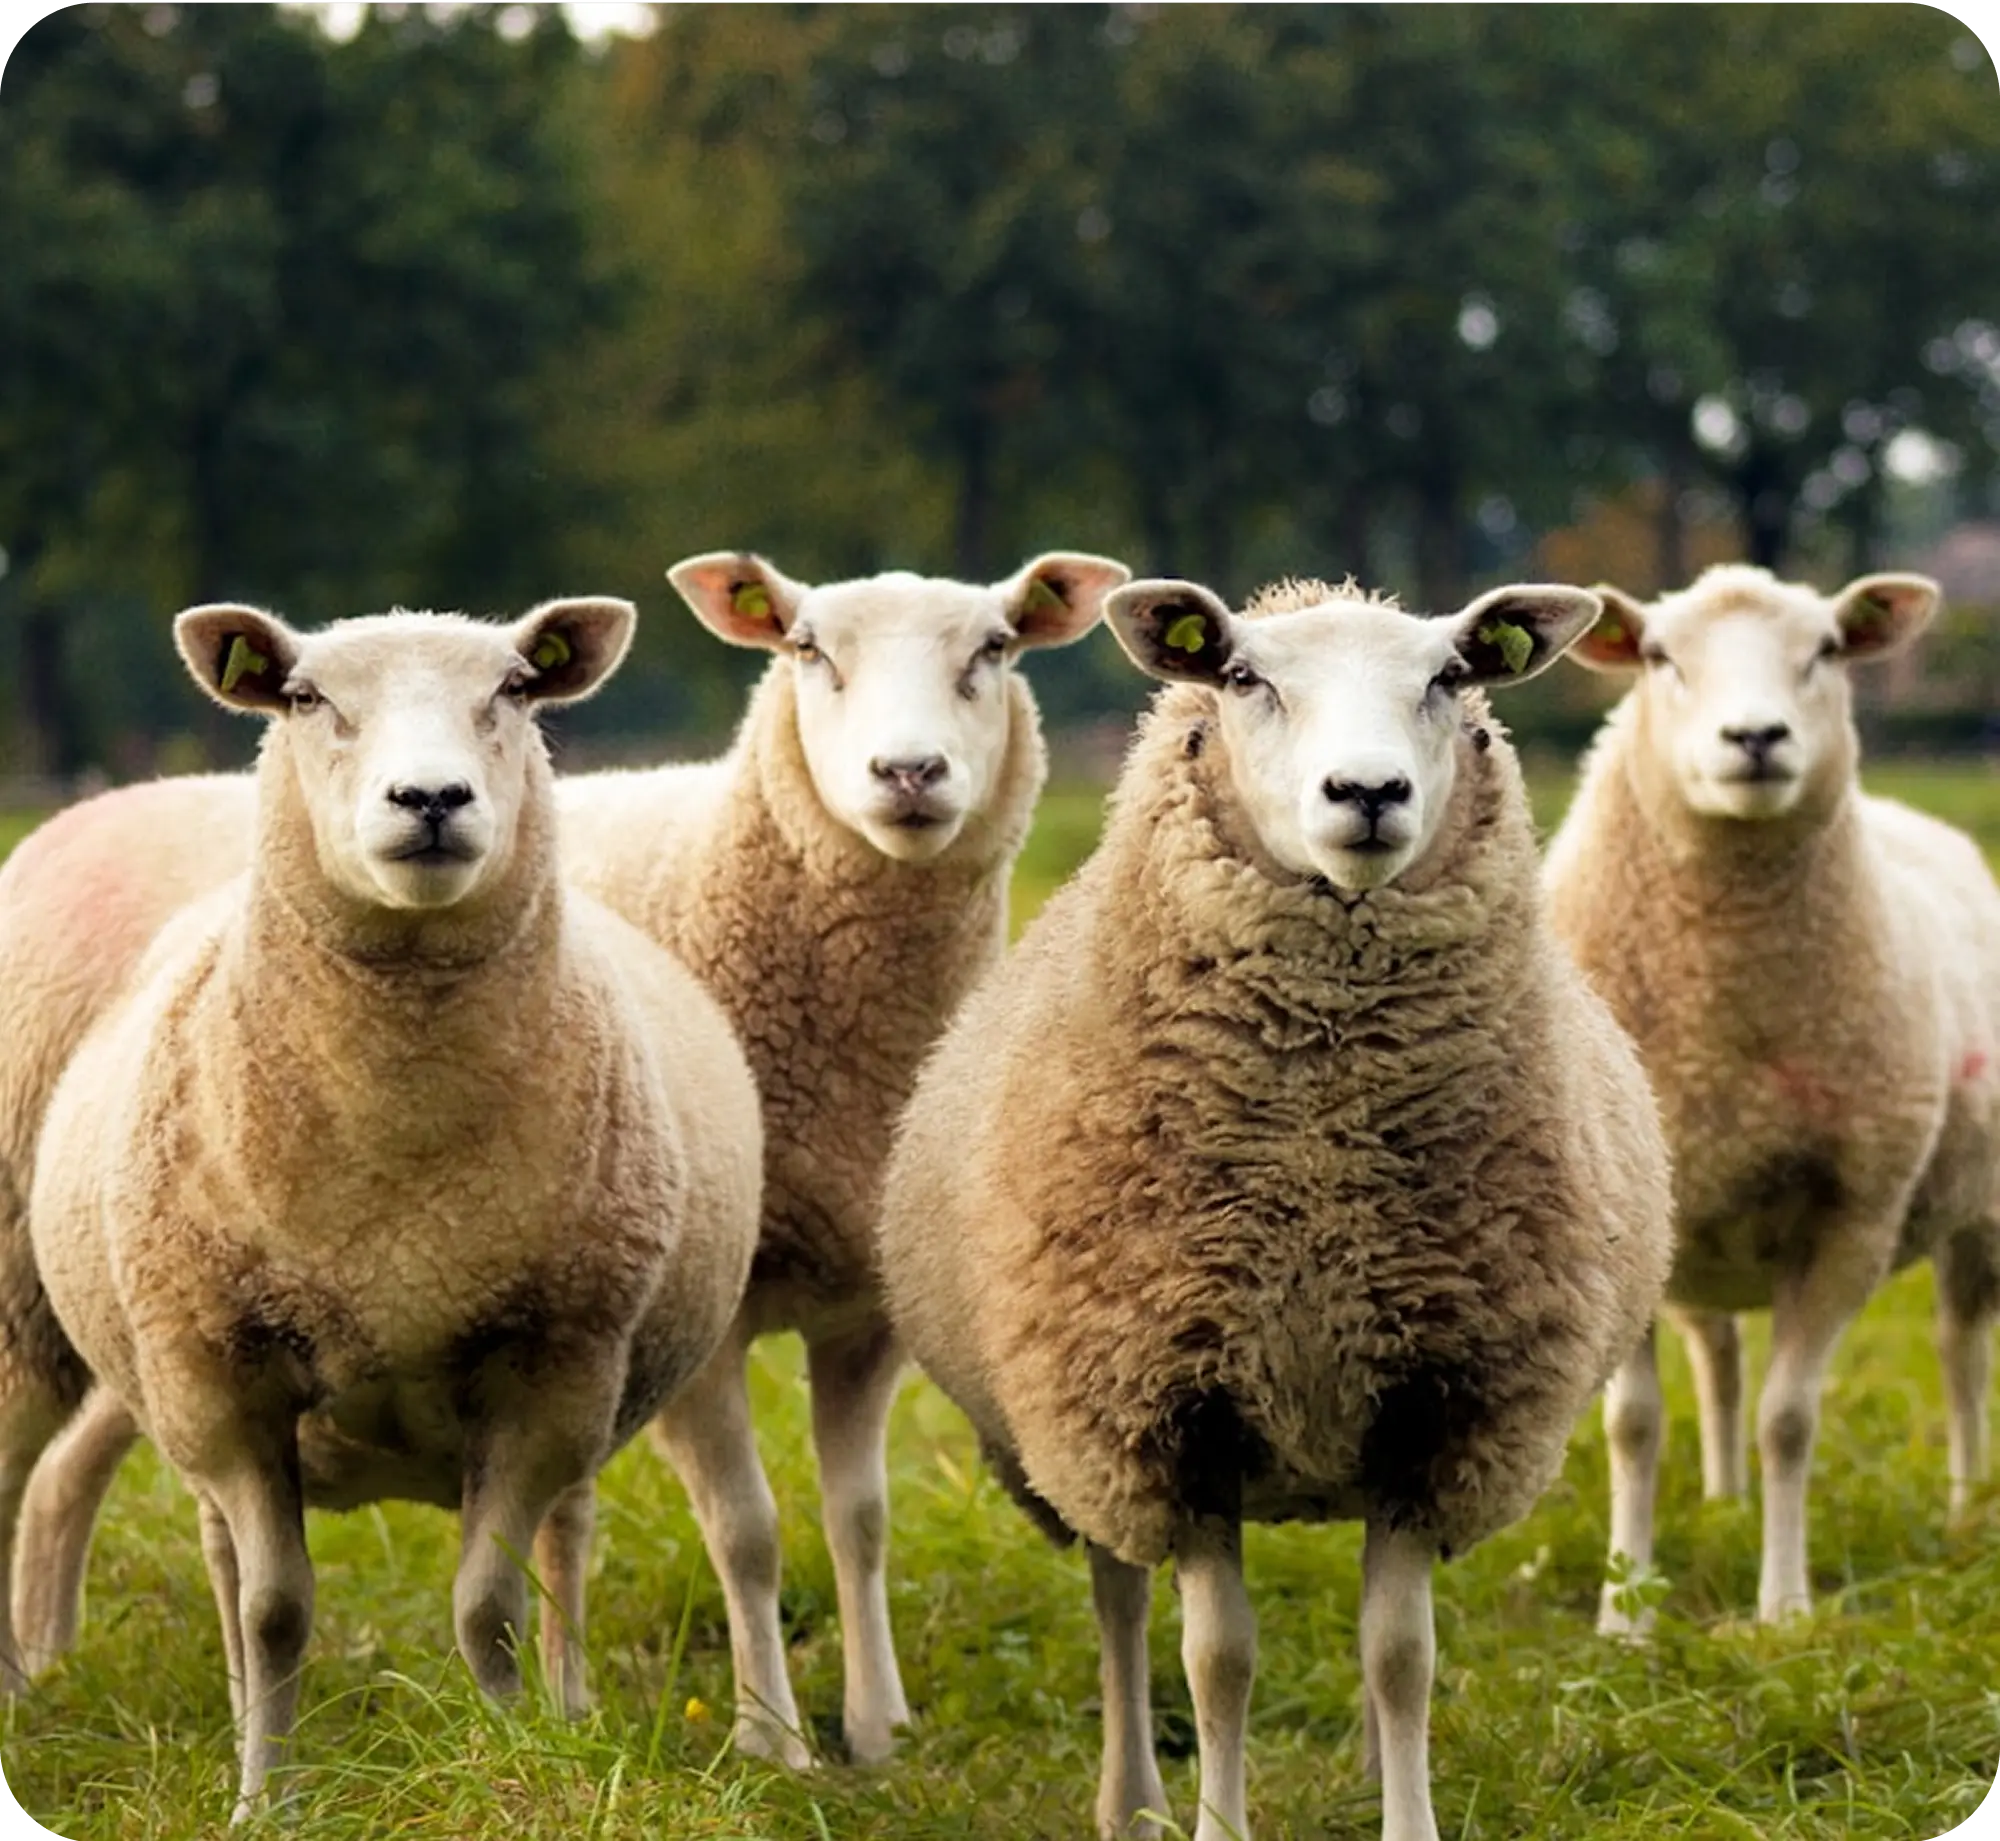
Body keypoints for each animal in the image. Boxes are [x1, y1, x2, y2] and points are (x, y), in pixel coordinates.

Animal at [17, 597, 764, 1816]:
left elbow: (488, 1605)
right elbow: (275, 1609)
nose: (429, 799)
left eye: (515, 688)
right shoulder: (222, 1374)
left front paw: (517, 1764)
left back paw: (567, 1715)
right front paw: (263, 1801)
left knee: (559, 1537)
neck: (399, 1184)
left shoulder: (550, 1367)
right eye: (305, 696)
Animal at [554, 548, 1129, 1765]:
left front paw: (876, 1725)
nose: (907, 770)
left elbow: (858, 1520)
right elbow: (747, 1529)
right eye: (809, 648)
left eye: (995, 646)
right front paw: (771, 1737)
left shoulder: (868, 1309)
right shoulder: (709, 1315)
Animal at [877, 574, 1674, 1841]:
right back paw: (1132, 1799)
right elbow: (1216, 1660)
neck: (1320, 1165)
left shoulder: (1433, 1404)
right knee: (1118, 1603)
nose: (1367, 793)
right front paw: (1215, 1820)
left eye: (1451, 677)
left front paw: (1406, 1818)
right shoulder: (1168, 1407)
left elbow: (1399, 1653)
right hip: (1080, 1436)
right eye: (1244, 677)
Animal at [1542, 562, 2000, 1632]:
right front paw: (1625, 1612)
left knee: (1960, 1350)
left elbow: (1789, 1419)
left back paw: (1966, 1507)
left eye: (1826, 649)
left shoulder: (1852, 1220)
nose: (1755, 739)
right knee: (1717, 1358)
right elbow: (1634, 1425)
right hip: (1697, 1234)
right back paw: (1721, 1503)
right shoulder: (1624, 1226)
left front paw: (1784, 1607)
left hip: (1977, 1213)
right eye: (1659, 656)